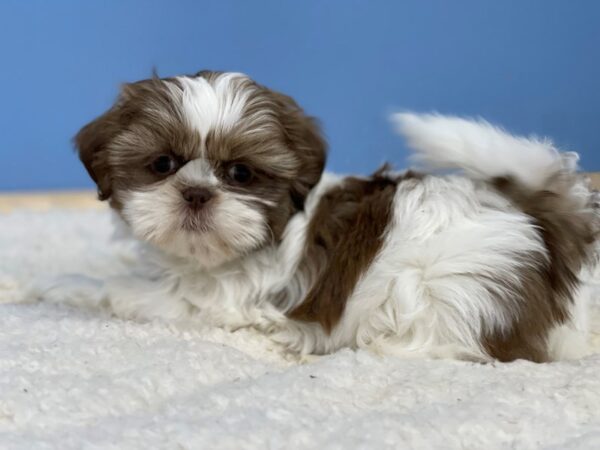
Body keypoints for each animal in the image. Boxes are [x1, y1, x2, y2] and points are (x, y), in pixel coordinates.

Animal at [37, 72, 600, 364]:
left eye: (240, 173)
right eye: (162, 165)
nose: (196, 193)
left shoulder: (214, 303)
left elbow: (123, 293)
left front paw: (63, 285)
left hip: (443, 285)